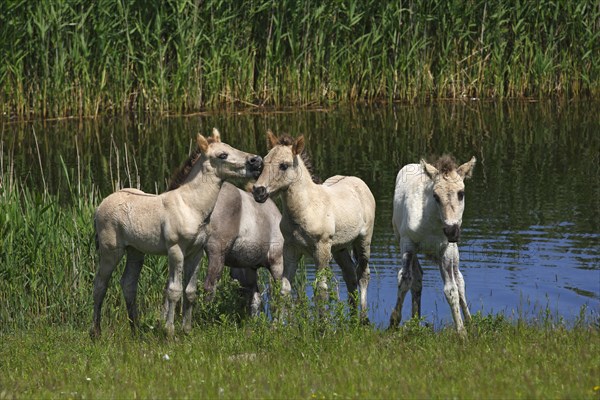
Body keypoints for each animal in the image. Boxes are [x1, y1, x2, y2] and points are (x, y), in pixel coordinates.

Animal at [91, 129, 262, 338]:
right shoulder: (176, 250)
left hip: (135, 251)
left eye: (231, 147)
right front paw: (169, 332)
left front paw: (186, 330)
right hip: (111, 251)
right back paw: (96, 332)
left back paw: (136, 331)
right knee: (100, 285)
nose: (257, 161)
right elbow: (174, 290)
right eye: (222, 155)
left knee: (128, 284)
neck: (190, 206)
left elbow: (190, 291)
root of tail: (101, 205)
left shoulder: (196, 253)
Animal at [250, 130, 372, 320]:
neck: (306, 208)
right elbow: (285, 289)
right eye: (264, 161)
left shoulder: (321, 249)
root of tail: (358, 182)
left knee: (363, 274)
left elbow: (321, 290)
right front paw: (277, 325)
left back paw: (363, 318)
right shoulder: (291, 248)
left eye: (284, 165)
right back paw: (352, 316)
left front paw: (321, 325)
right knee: (350, 275)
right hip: (339, 248)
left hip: (363, 240)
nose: (258, 191)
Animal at [390, 155, 478, 336]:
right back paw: (415, 320)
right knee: (417, 277)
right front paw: (394, 321)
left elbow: (451, 290)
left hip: (454, 251)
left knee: (459, 280)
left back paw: (470, 322)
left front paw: (462, 333)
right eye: (435, 196)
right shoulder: (407, 243)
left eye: (461, 193)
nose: (451, 231)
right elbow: (405, 279)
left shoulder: (447, 249)